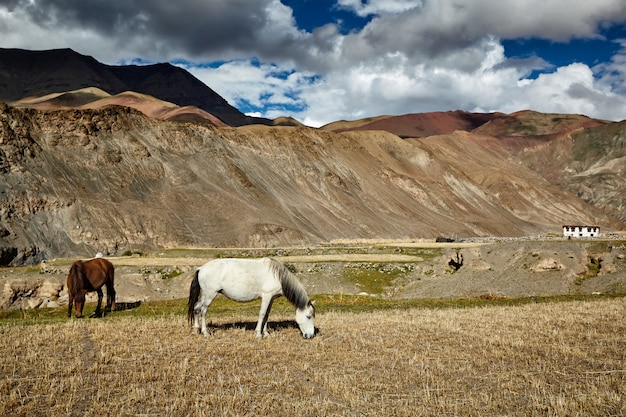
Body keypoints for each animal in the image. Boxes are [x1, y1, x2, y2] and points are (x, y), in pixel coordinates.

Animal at [184, 256, 312, 338]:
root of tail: (201, 268)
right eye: (309, 316)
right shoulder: (266, 296)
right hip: (210, 295)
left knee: (196, 308)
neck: (278, 276)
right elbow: (262, 314)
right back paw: (205, 332)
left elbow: (267, 314)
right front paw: (258, 334)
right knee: (203, 310)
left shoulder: (271, 298)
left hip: (205, 295)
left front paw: (266, 333)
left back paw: (196, 329)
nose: (310, 336)